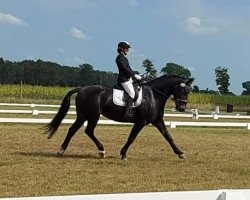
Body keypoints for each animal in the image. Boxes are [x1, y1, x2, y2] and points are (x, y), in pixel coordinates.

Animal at [45, 74, 194, 160]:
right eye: (182, 90)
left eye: (188, 91)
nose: (181, 108)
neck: (154, 96)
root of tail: (81, 89)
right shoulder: (141, 122)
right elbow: (132, 137)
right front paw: (123, 154)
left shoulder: (157, 120)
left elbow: (168, 136)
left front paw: (180, 153)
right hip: (91, 115)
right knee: (85, 130)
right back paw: (99, 151)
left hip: (84, 115)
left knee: (76, 130)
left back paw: (65, 151)